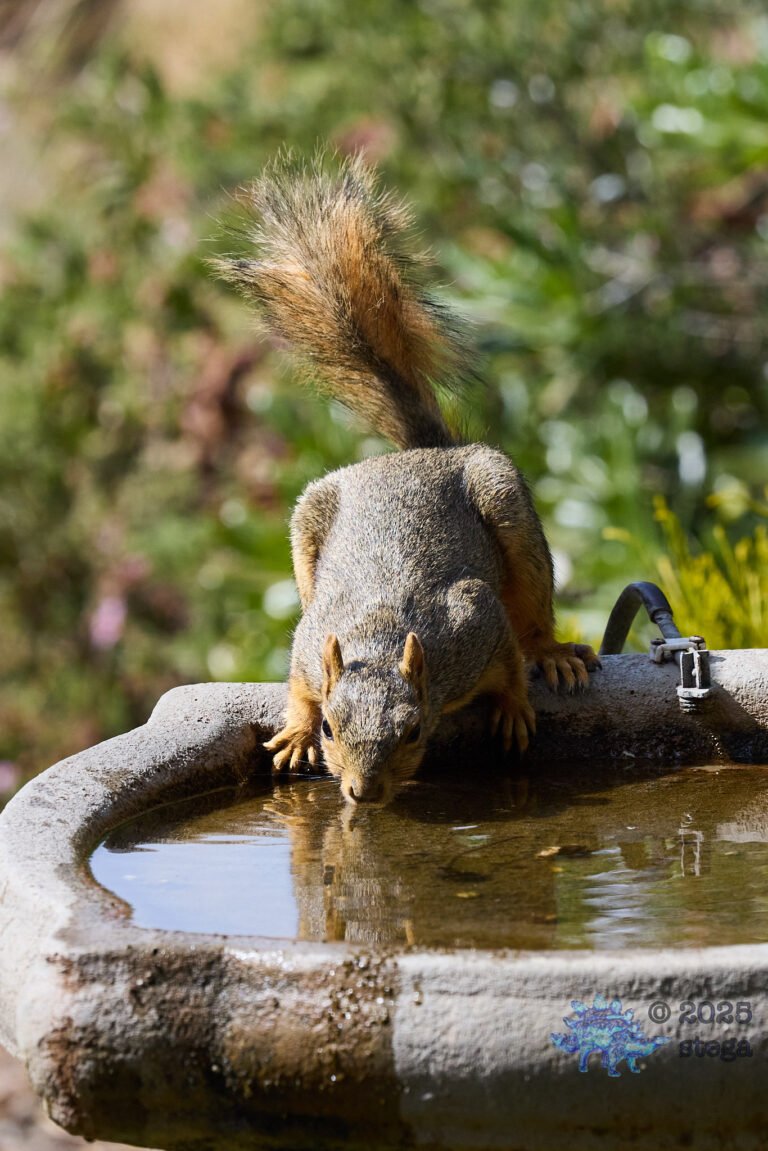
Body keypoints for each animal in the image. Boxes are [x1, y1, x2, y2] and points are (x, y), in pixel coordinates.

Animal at [215, 154, 601, 805]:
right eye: (330, 727)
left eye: (415, 730)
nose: (362, 793)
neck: (379, 636)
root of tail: (425, 455)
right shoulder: (309, 637)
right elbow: (298, 682)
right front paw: (294, 731)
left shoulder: (475, 623)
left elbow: (508, 659)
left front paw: (514, 708)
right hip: (308, 524)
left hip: (508, 509)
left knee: (533, 614)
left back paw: (553, 653)